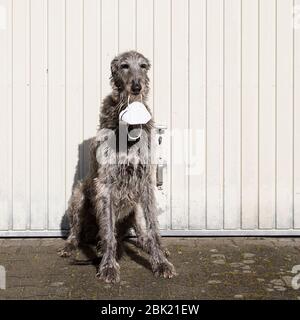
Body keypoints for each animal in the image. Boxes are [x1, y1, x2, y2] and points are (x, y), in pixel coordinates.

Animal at [57, 51, 177, 284]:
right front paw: (109, 267)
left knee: (142, 233)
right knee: (79, 230)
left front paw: (161, 262)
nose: (137, 87)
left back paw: (154, 246)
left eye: (143, 66)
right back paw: (72, 245)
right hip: (79, 194)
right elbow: (108, 232)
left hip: (135, 206)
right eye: (124, 66)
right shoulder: (105, 185)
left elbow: (153, 228)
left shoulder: (145, 182)